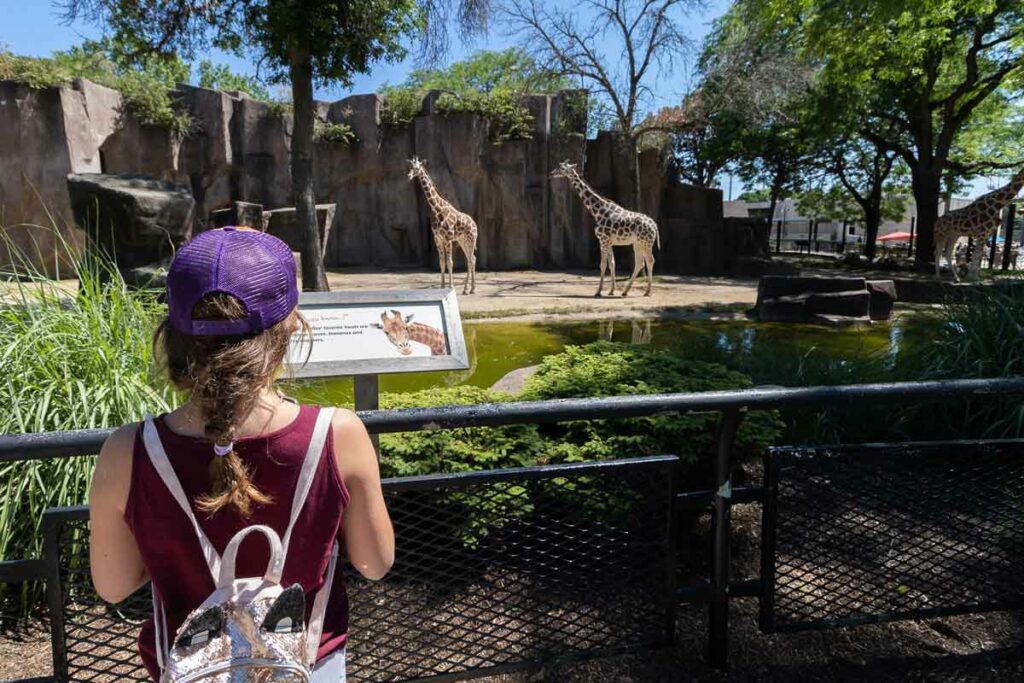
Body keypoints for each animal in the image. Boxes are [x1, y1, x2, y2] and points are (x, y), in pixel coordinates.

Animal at [405, 158, 477, 294]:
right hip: (462, 240)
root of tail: (474, 223)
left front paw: (451, 286)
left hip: (471, 239)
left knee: (471, 259)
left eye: (417, 168)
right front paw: (443, 286)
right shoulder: (437, 239)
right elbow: (442, 262)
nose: (409, 176)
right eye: (410, 167)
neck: (437, 210)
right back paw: (466, 289)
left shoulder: (448, 239)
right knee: (471, 260)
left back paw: (472, 289)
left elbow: (450, 262)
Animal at [548, 162, 659, 299]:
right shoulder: (609, 241)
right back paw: (625, 291)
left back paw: (647, 291)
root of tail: (654, 225)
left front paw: (598, 291)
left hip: (646, 242)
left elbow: (602, 264)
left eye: (562, 168)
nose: (551, 173)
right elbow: (612, 263)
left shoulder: (602, 239)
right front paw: (611, 290)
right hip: (637, 243)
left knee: (650, 260)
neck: (598, 211)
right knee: (640, 263)